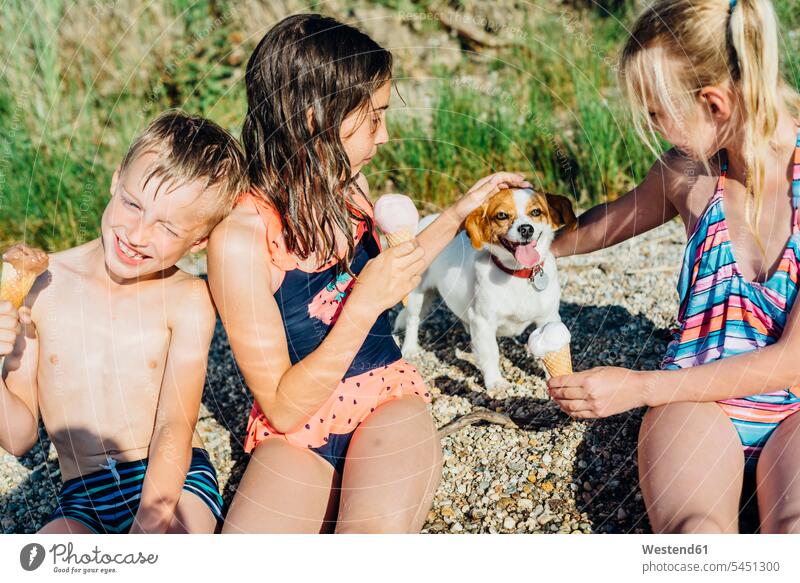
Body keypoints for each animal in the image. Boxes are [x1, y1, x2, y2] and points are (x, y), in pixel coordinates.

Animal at [394, 189, 576, 392]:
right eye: (502, 215)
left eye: (536, 212)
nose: (526, 229)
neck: (517, 274)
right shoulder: (483, 322)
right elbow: (491, 353)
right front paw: (495, 382)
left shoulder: (548, 318)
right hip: (416, 296)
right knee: (412, 320)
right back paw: (410, 348)